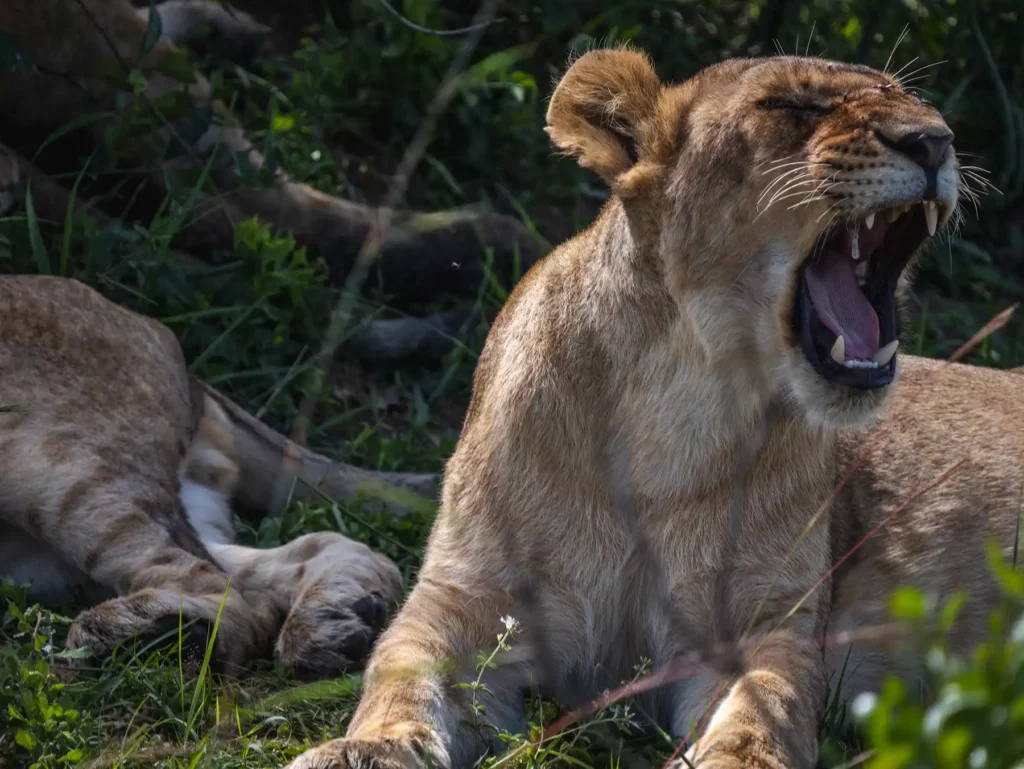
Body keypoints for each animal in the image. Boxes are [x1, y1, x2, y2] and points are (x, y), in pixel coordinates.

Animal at [284, 49, 1023, 768]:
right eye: (791, 104)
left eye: (910, 98)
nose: (935, 141)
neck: (682, 401)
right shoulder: (463, 598)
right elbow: (399, 675)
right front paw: (365, 749)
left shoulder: (763, 622)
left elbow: (765, 710)